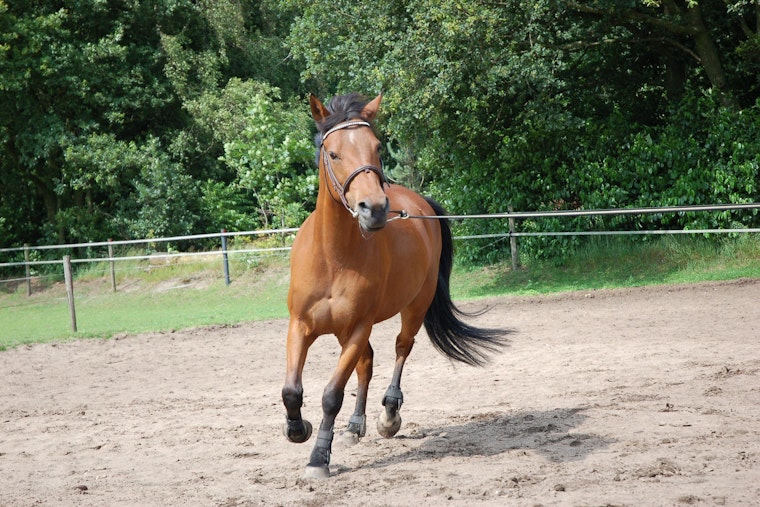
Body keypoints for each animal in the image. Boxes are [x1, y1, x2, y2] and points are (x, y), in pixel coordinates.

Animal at [281, 92, 508, 479]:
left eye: (376, 148)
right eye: (333, 153)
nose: (373, 208)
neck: (333, 257)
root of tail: (419, 204)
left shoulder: (359, 327)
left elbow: (331, 395)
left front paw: (318, 459)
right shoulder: (301, 326)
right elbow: (292, 391)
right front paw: (298, 430)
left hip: (413, 308)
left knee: (402, 348)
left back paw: (388, 415)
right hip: (345, 331)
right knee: (366, 364)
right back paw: (355, 426)